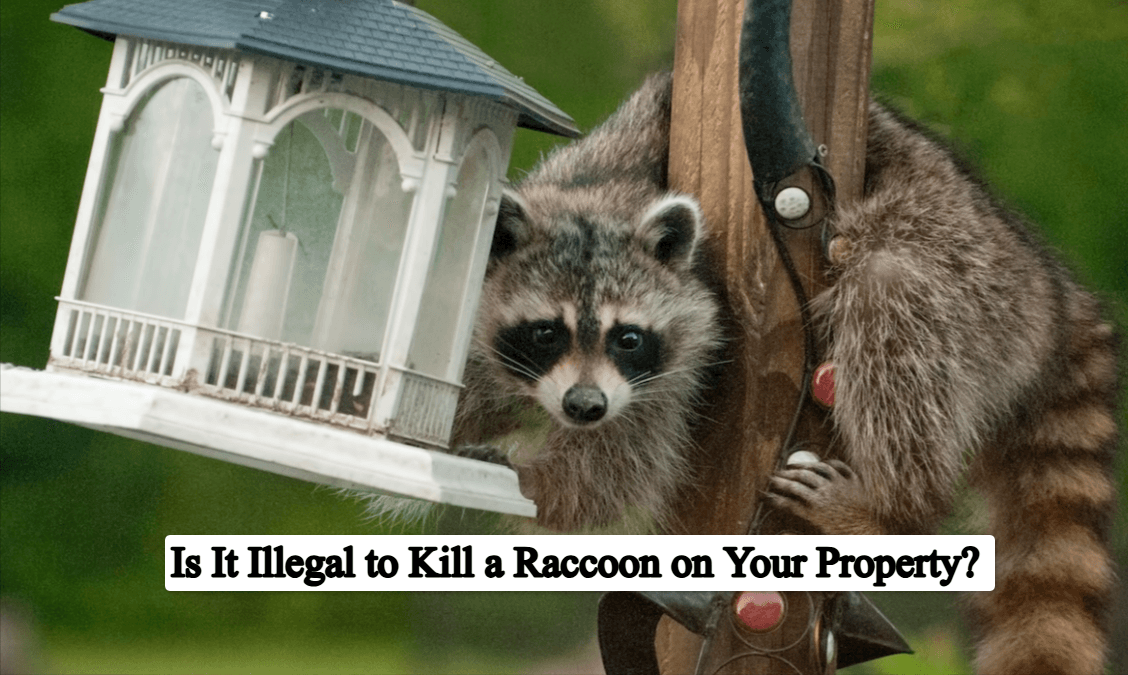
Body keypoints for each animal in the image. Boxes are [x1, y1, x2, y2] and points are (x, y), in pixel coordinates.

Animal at [449, 72, 724, 532]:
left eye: (628, 339)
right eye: (546, 332)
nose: (585, 406)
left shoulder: (668, 387)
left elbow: (597, 481)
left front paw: (527, 481)